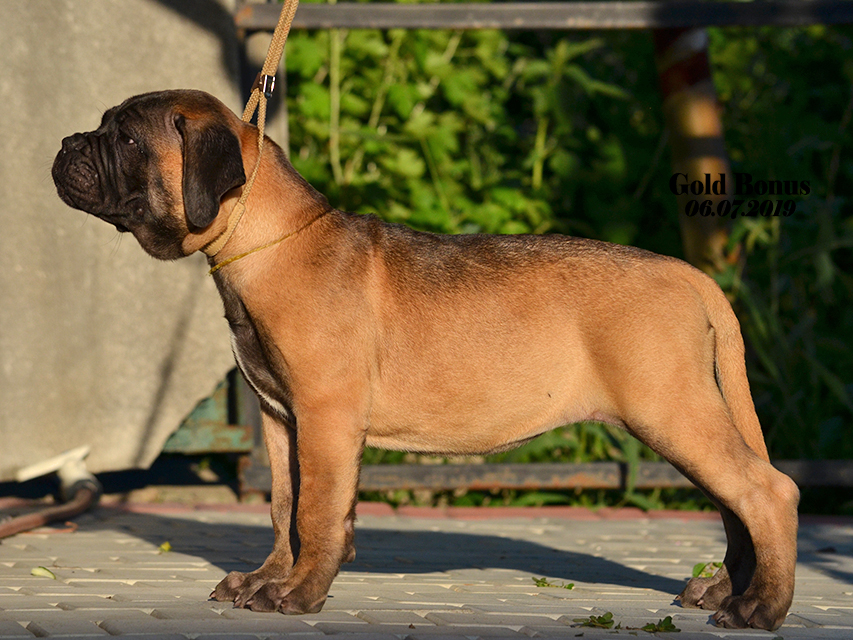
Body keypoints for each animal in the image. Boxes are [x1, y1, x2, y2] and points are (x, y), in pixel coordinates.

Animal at [51, 89, 800, 632]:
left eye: (125, 138)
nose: (63, 145)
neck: (267, 242)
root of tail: (690, 275)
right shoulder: (279, 418)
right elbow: (285, 508)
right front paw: (268, 579)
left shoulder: (324, 416)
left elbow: (316, 511)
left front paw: (299, 594)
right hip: (685, 415)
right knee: (737, 502)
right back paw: (726, 593)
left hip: (670, 410)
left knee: (768, 492)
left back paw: (760, 609)